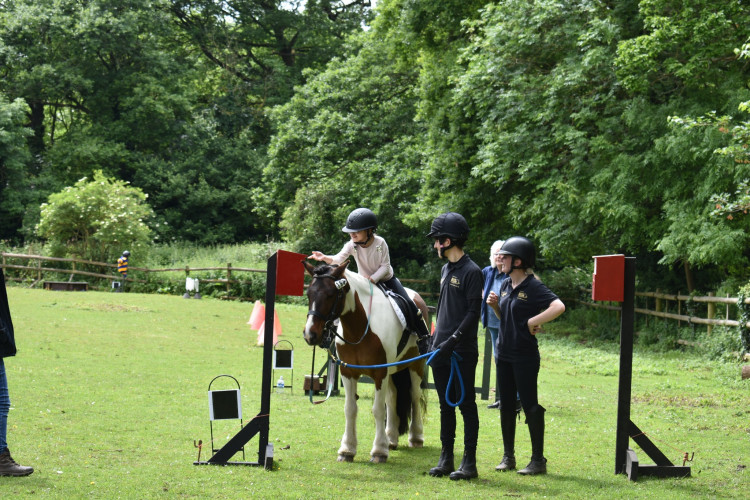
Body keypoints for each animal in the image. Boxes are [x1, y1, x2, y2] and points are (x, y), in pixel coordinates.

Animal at [302, 260, 428, 462]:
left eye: (330, 294)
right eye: (309, 294)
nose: (310, 334)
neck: (361, 328)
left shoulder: (379, 373)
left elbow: (378, 410)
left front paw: (379, 451)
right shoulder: (348, 373)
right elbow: (350, 409)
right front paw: (347, 449)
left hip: (415, 366)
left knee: (414, 396)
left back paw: (415, 437)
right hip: (393, 370)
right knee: (392, 398)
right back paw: (391, 438)